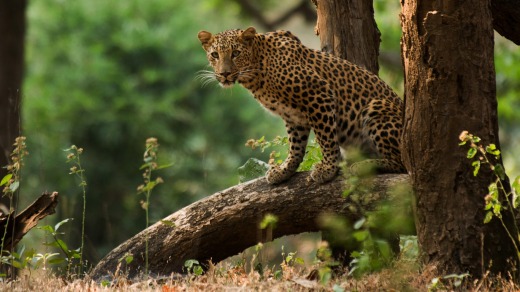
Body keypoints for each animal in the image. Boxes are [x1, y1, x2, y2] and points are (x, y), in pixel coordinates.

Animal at [197, 26, 404, 184]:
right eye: (215, 55)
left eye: (236, 53)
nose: (224, 74)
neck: (256, 73)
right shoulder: (292, 115)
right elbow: (295, 146)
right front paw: (284, 170)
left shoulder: (319, 94)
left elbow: (326, 138)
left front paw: (327, 169)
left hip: (377, 107)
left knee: (401, 163)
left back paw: (363, 166)